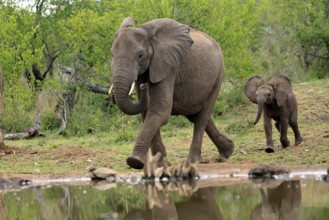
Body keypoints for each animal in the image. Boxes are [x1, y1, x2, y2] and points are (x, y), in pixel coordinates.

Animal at [110, 17, 233, 169]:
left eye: (140, 55)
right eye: (112, 55)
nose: (145, 86)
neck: (147, 31)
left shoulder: (168, 67)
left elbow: (160, 110)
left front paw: (135, 161)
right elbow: (147, 112)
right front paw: (160, 165)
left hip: (218, 75)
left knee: (202, 117)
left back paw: (193, 161)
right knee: (195, 114)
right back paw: (228, 151)